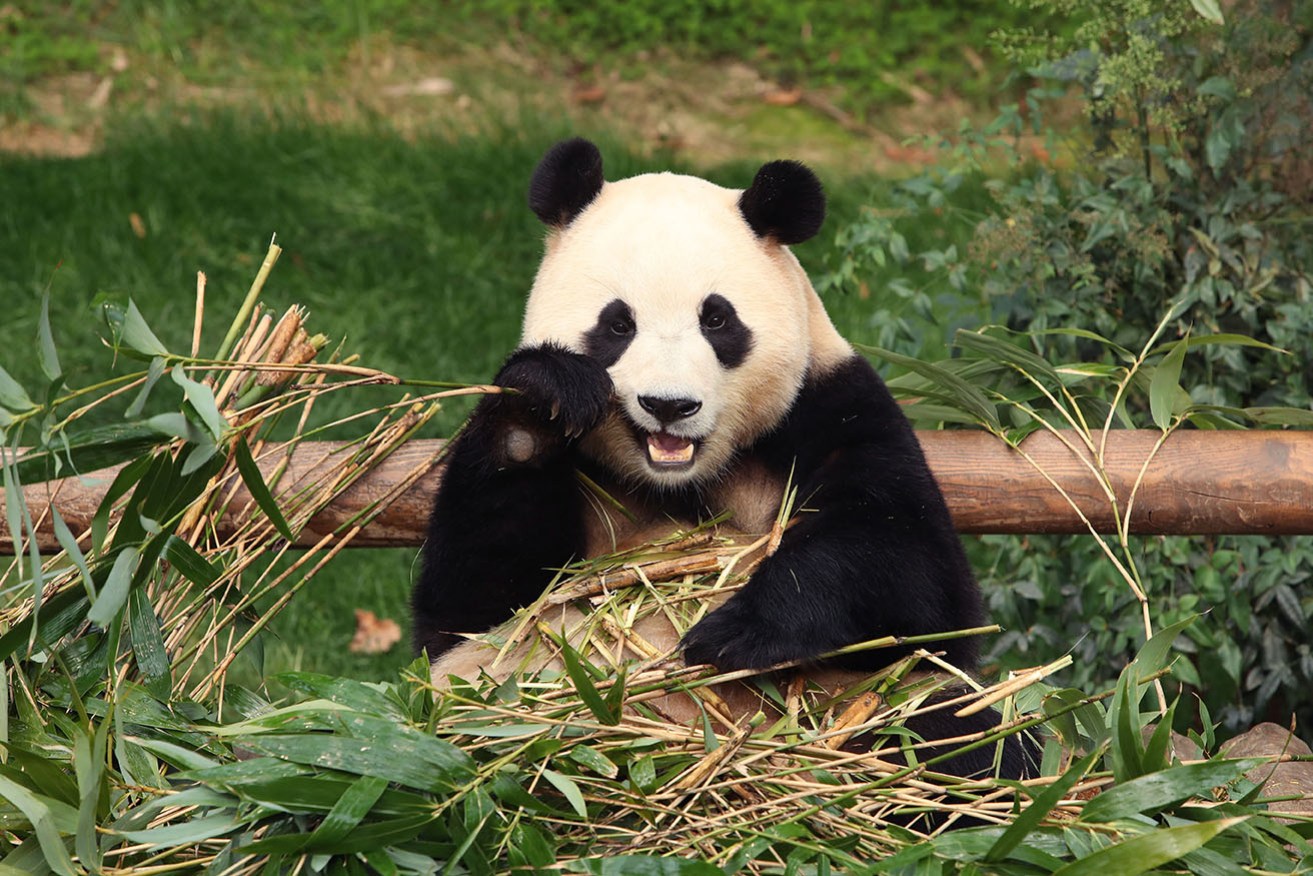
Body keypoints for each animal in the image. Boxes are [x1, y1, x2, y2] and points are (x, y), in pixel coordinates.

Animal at [414, 137, 1029, 782]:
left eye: (716, 318)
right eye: (617, 323)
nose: (669, 405)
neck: (683, 481)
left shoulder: (832, 408)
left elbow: (916, 575)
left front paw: (734, 632)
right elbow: (471, 603)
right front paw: (541, 403)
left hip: (864, 703)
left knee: (961, 737)